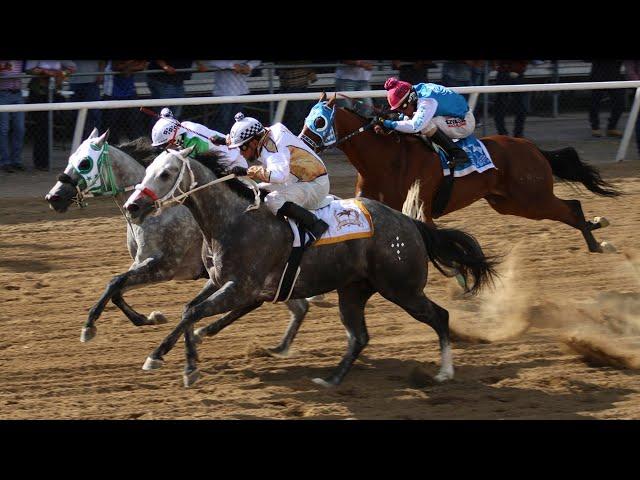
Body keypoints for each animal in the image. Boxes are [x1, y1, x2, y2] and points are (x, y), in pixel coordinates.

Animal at [122, 148, 498, 388]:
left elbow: (193, 313)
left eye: (166, 173)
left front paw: (185, 366)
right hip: (353, 291)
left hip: (402, 288)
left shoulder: (241, 286)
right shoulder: (219, 281)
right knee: (359, 337)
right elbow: (189, 310)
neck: (233, 221)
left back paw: (444, 373)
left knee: (439, 316)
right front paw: (161, 355)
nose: (132, 207)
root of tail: (409, 223)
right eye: (148, 169)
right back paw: (331, 379)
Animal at [302, 93, 624, 251]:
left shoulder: (421, 207)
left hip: (531, 198)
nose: (303, 143)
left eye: (319, 121)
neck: (386, 158)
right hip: (511, 203)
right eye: (307, 117)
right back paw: (596, 228)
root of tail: (533, 147)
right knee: (569, 209)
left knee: (573, 206)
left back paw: (597, 243)